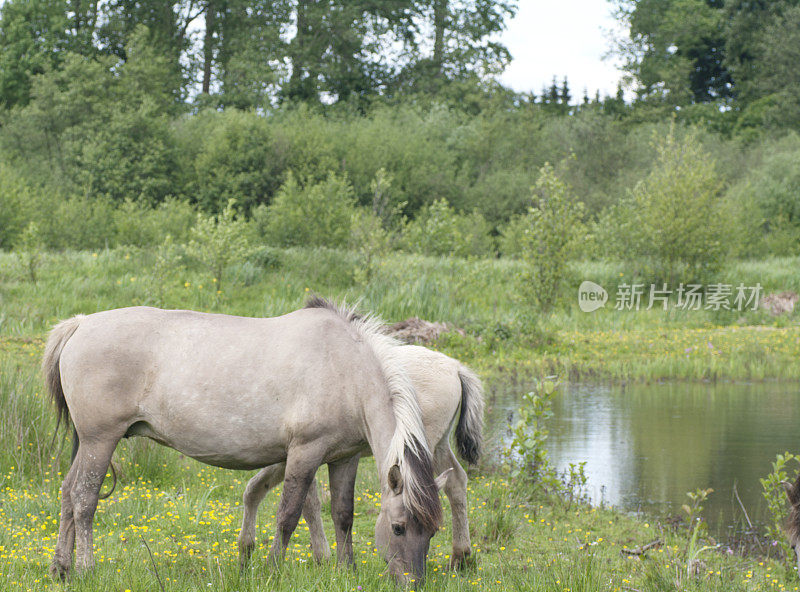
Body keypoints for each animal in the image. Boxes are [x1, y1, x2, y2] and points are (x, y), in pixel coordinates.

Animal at [43, 298, 446, 584]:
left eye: (432, 531)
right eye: (398, 527)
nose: (412, 583)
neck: (347, 369)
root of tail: (80, 324)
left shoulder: (343, 458)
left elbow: (343, 514)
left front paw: (347, 572)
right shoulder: (305, 452)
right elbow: (288, 515)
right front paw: (272, 570)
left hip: (89, 444)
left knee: (66, 493)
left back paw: (61, 568)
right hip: (100, 440)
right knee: (83, 499)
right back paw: (86, 569)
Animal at [238, 344, 484, 572]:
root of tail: (456, 368)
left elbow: (303, 502)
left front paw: (322, 556)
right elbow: (257, 489)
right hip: (439, 446)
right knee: (456, 481)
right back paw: (460, 557)